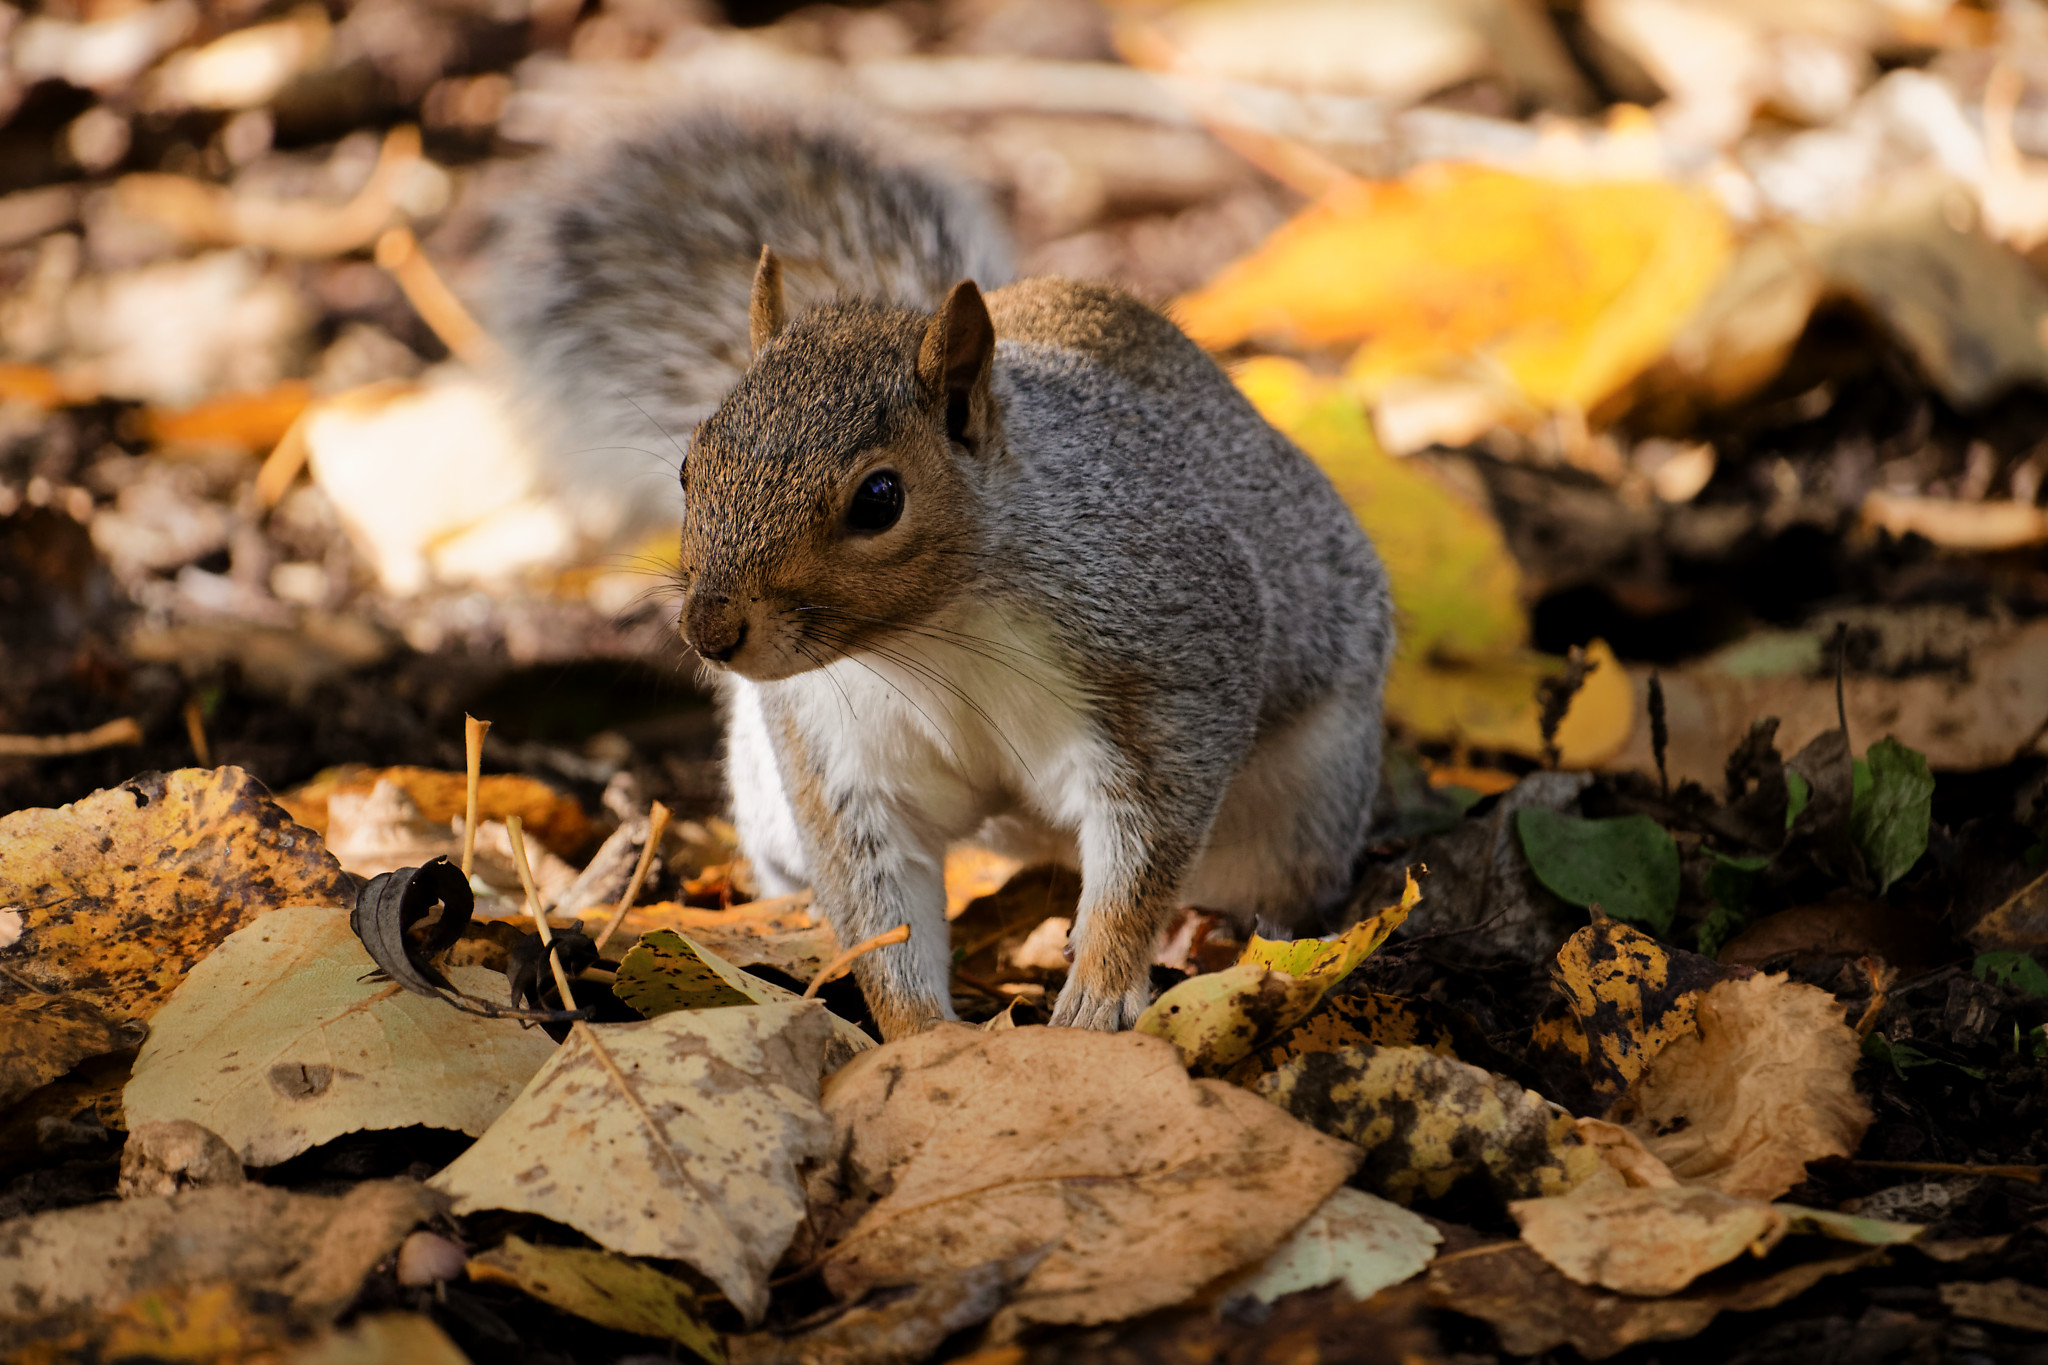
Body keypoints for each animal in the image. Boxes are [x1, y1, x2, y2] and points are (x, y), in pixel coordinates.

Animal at [498, 104, 1395, 1039]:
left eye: (880, 498)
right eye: (688, 466)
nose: (710, 631)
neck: (928, 639)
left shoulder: (1170, 648)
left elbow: (1147, 845)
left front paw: (1099, 992)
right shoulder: (837, 755)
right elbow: (879, 911)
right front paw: (919, 1040)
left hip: (1298, 809)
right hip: (762, 789)